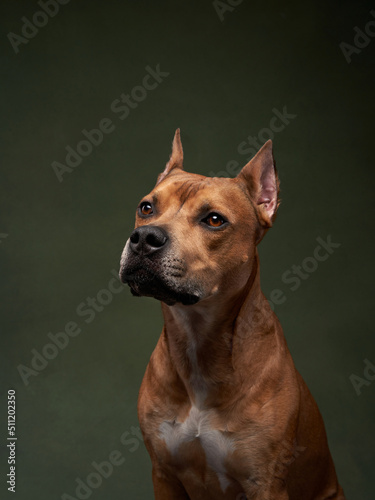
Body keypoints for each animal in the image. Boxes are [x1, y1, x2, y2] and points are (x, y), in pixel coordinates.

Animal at [120, 131, 346, 498]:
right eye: (147, 207)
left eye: (214, 220)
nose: (144, 237)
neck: (198, 340)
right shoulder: (163, 474)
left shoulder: (265, 484)